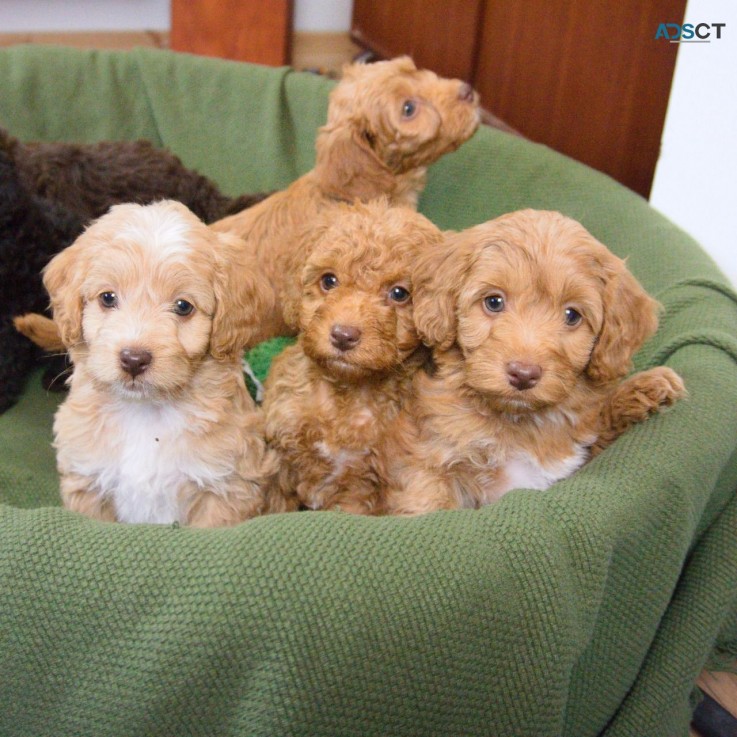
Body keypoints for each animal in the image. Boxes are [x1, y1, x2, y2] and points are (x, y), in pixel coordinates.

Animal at [43, 198, 280, 528]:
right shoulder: (86, 480)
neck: (146, 413)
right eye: (107, 298)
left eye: (183, 306)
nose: (133, 359)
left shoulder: (226, 488)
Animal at [262, 198, 442, 516]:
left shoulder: (361, 486)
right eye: (328, 280)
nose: (343, 336)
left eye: (399, 293)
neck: (343, 394)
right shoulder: (279, 457)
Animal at [386, 210, 684, 516]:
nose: (523, 374)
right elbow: (429, 500)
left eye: (572, 315)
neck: (519, 421)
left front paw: (646, 388)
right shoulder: (430, 460)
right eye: (494, 301)